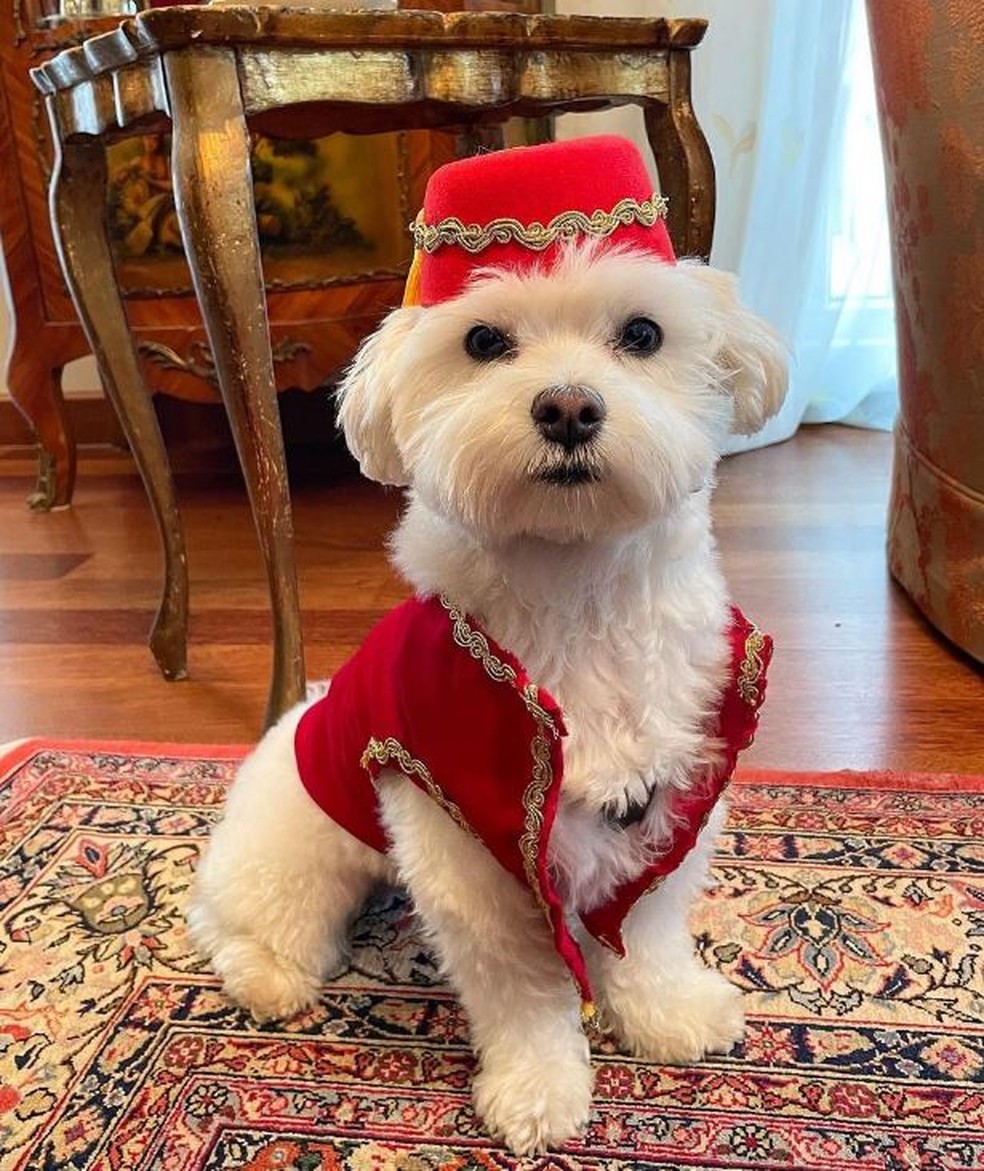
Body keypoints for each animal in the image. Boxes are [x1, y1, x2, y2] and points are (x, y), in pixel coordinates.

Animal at [188, 137, 787, 1152]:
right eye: (482, 342)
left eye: (642, 334)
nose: (568, 409)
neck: (577, 595)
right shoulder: (470, 843)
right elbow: (525, 988)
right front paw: (539, 1088)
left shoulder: (672, 798)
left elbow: (646, 927)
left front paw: (663, 1010)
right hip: (297, 850)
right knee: (245, 918)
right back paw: (269, 976)